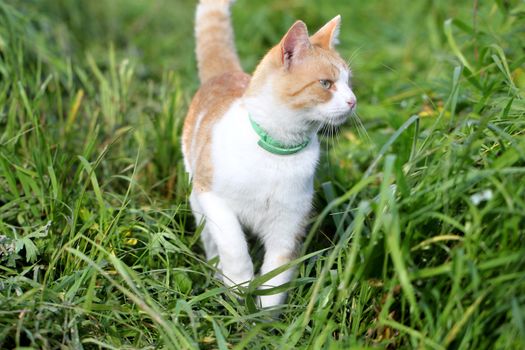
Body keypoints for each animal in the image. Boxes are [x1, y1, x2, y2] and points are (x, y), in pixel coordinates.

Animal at [181, 0, 356, 308]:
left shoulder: (288, 225)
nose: (353, 101)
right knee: (211, 240)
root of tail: (224, 74)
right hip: (197, 199)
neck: (278, 151)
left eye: (349, 82)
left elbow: (276, 278)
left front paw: (262, 317)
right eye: (326, 84)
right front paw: (238, 286)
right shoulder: (213, 198)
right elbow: (234, 245)